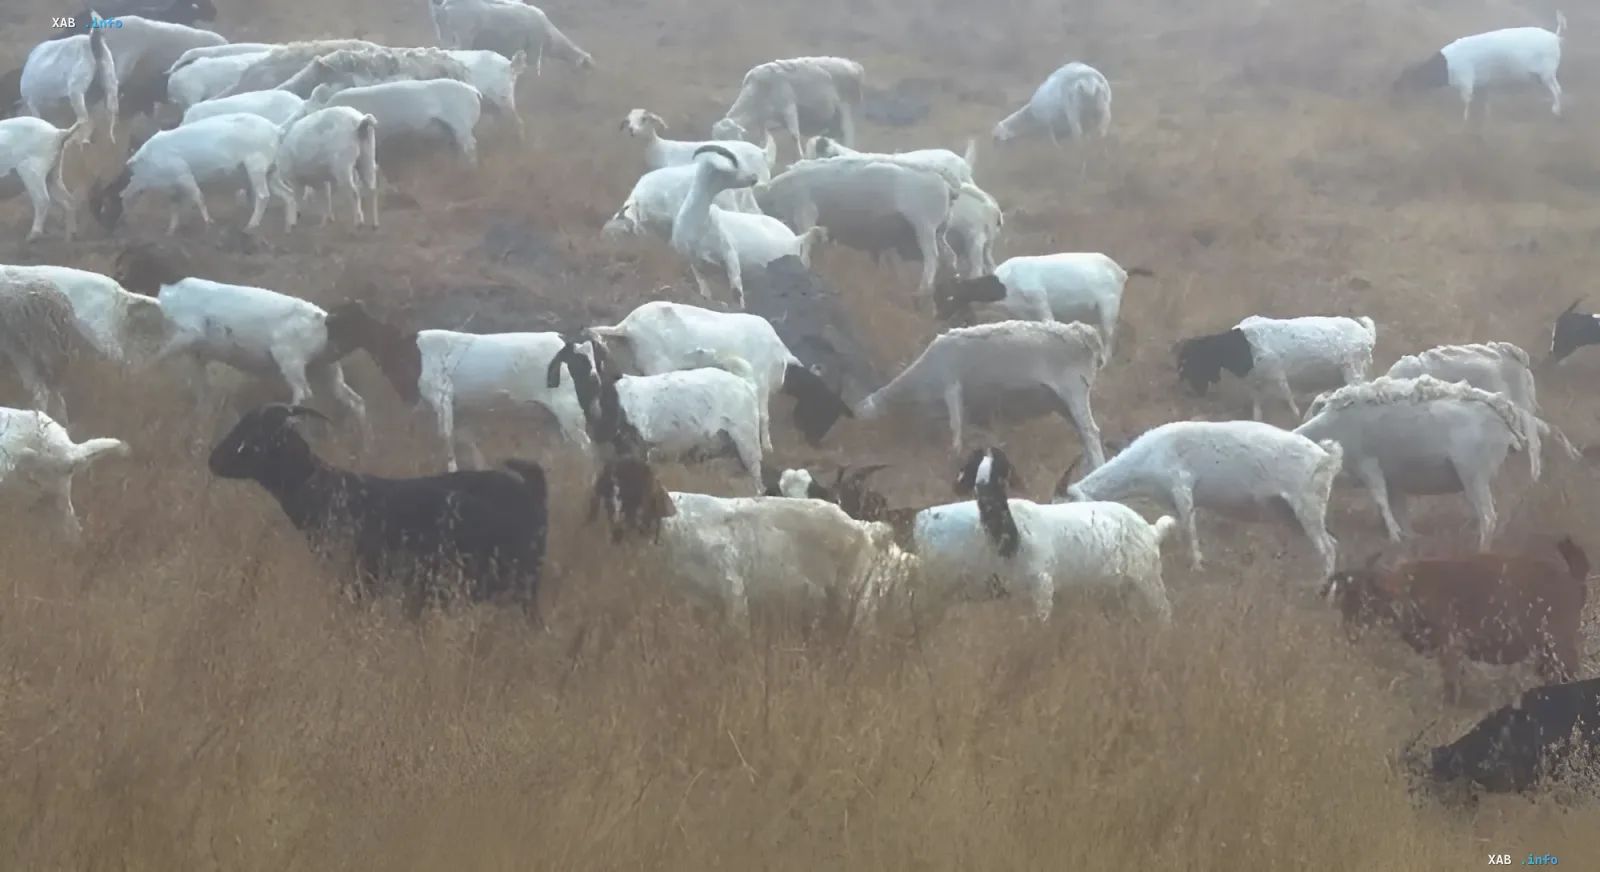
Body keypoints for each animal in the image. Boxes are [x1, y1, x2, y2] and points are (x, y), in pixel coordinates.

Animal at [208, 403, 548, 621]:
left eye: (256, 434)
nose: (214, 460)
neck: (326, 489)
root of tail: (532, 489)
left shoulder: (360, 579)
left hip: (522, 581)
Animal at [1324, 536, 1587, 703]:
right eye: (1342, 593)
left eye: (1364, 593)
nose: (1349, 628)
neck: (1408, 590)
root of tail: (1572, 578)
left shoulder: (1449, 646)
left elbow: (1452, 685)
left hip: (1558, 647)